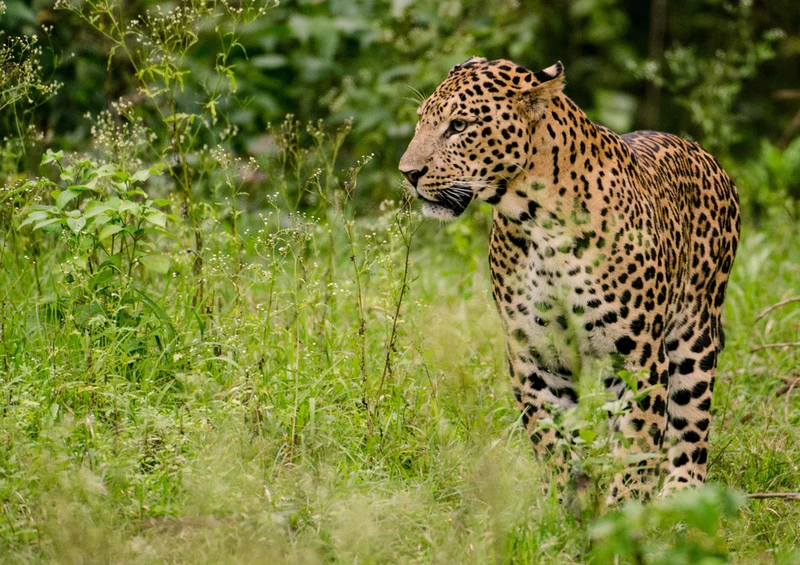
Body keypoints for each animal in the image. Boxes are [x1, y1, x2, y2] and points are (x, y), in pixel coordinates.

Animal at [399, 57, 740, 502]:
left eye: (458, 126)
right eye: (421, 121)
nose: (408, 173)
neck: (537, 221)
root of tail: (704, 154)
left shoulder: (639, 358)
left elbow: (636, 446)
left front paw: (622, 511)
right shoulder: (536, 355)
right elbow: (552, 440)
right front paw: (563, 505)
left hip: (694, 336)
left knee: (691, 428)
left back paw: (680, 496)